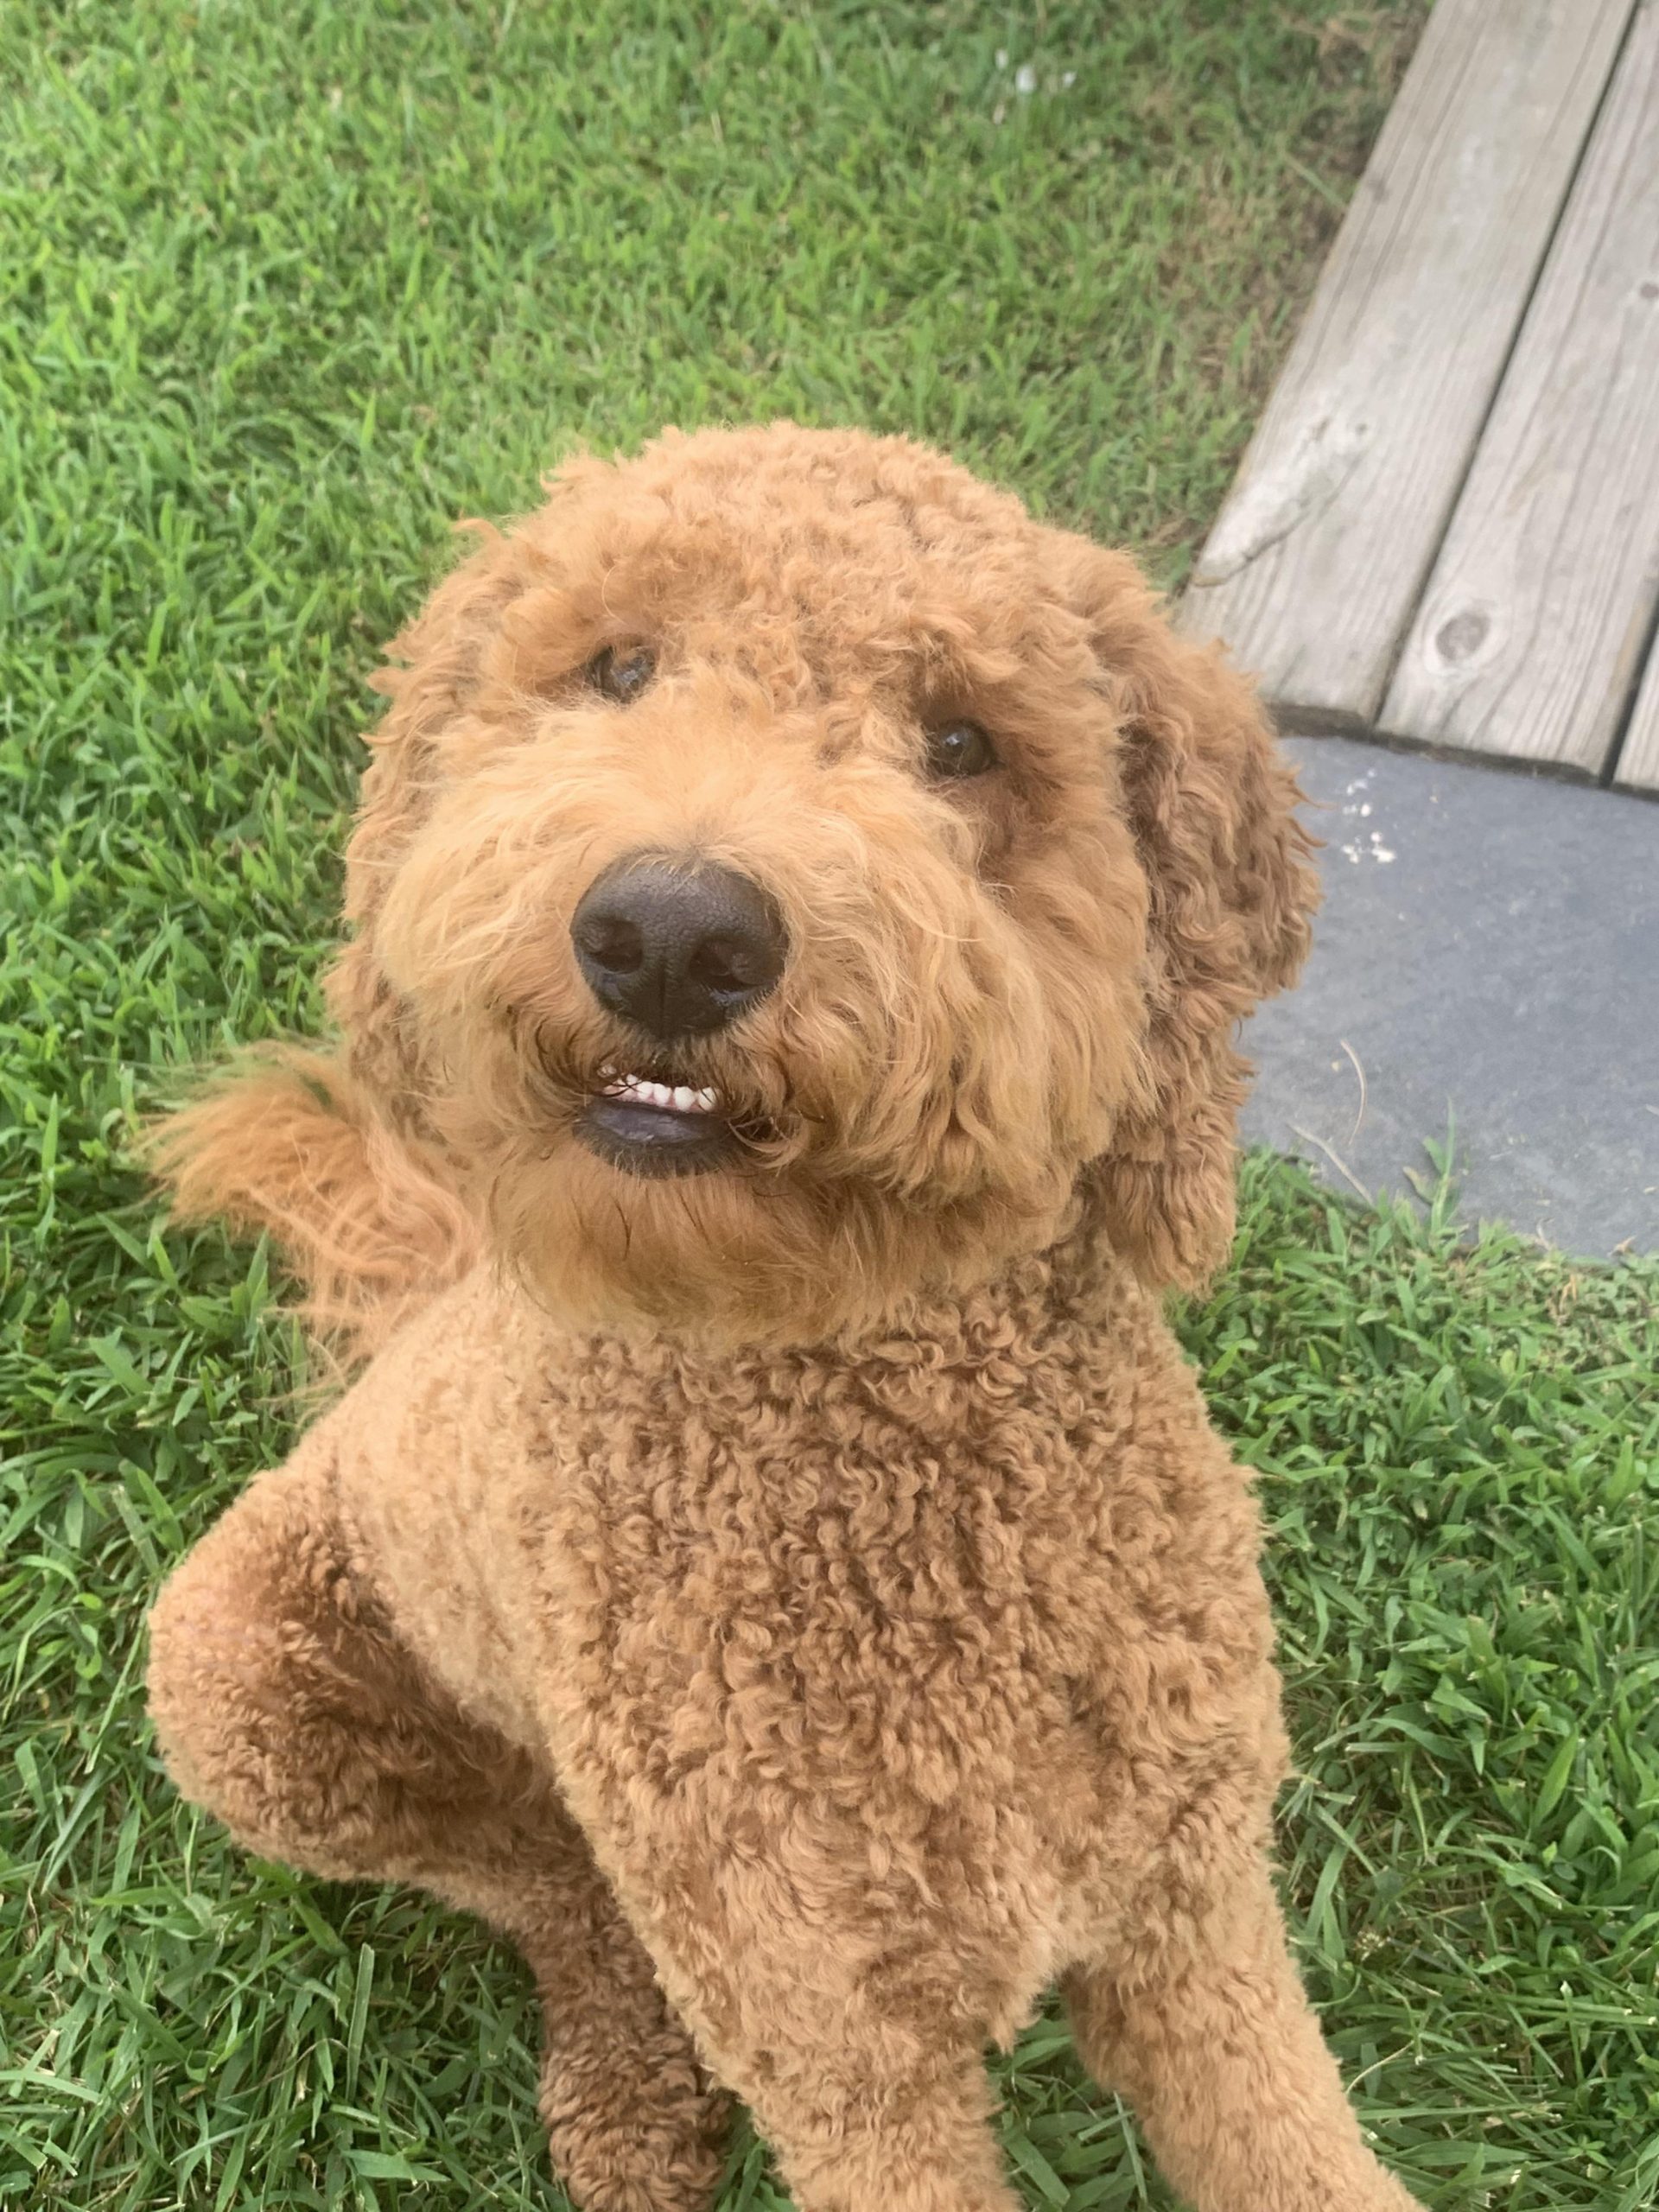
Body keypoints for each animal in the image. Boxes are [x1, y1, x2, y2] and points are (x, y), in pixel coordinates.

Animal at [145, 427, 1433, 2212]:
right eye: (619, 670)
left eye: (960, 742)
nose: (672, 932)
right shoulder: (844, 2056)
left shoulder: (1196, 1915)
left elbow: (1296, 2144)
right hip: (243, 1688)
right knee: (550, 1882)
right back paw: (627, 2089)